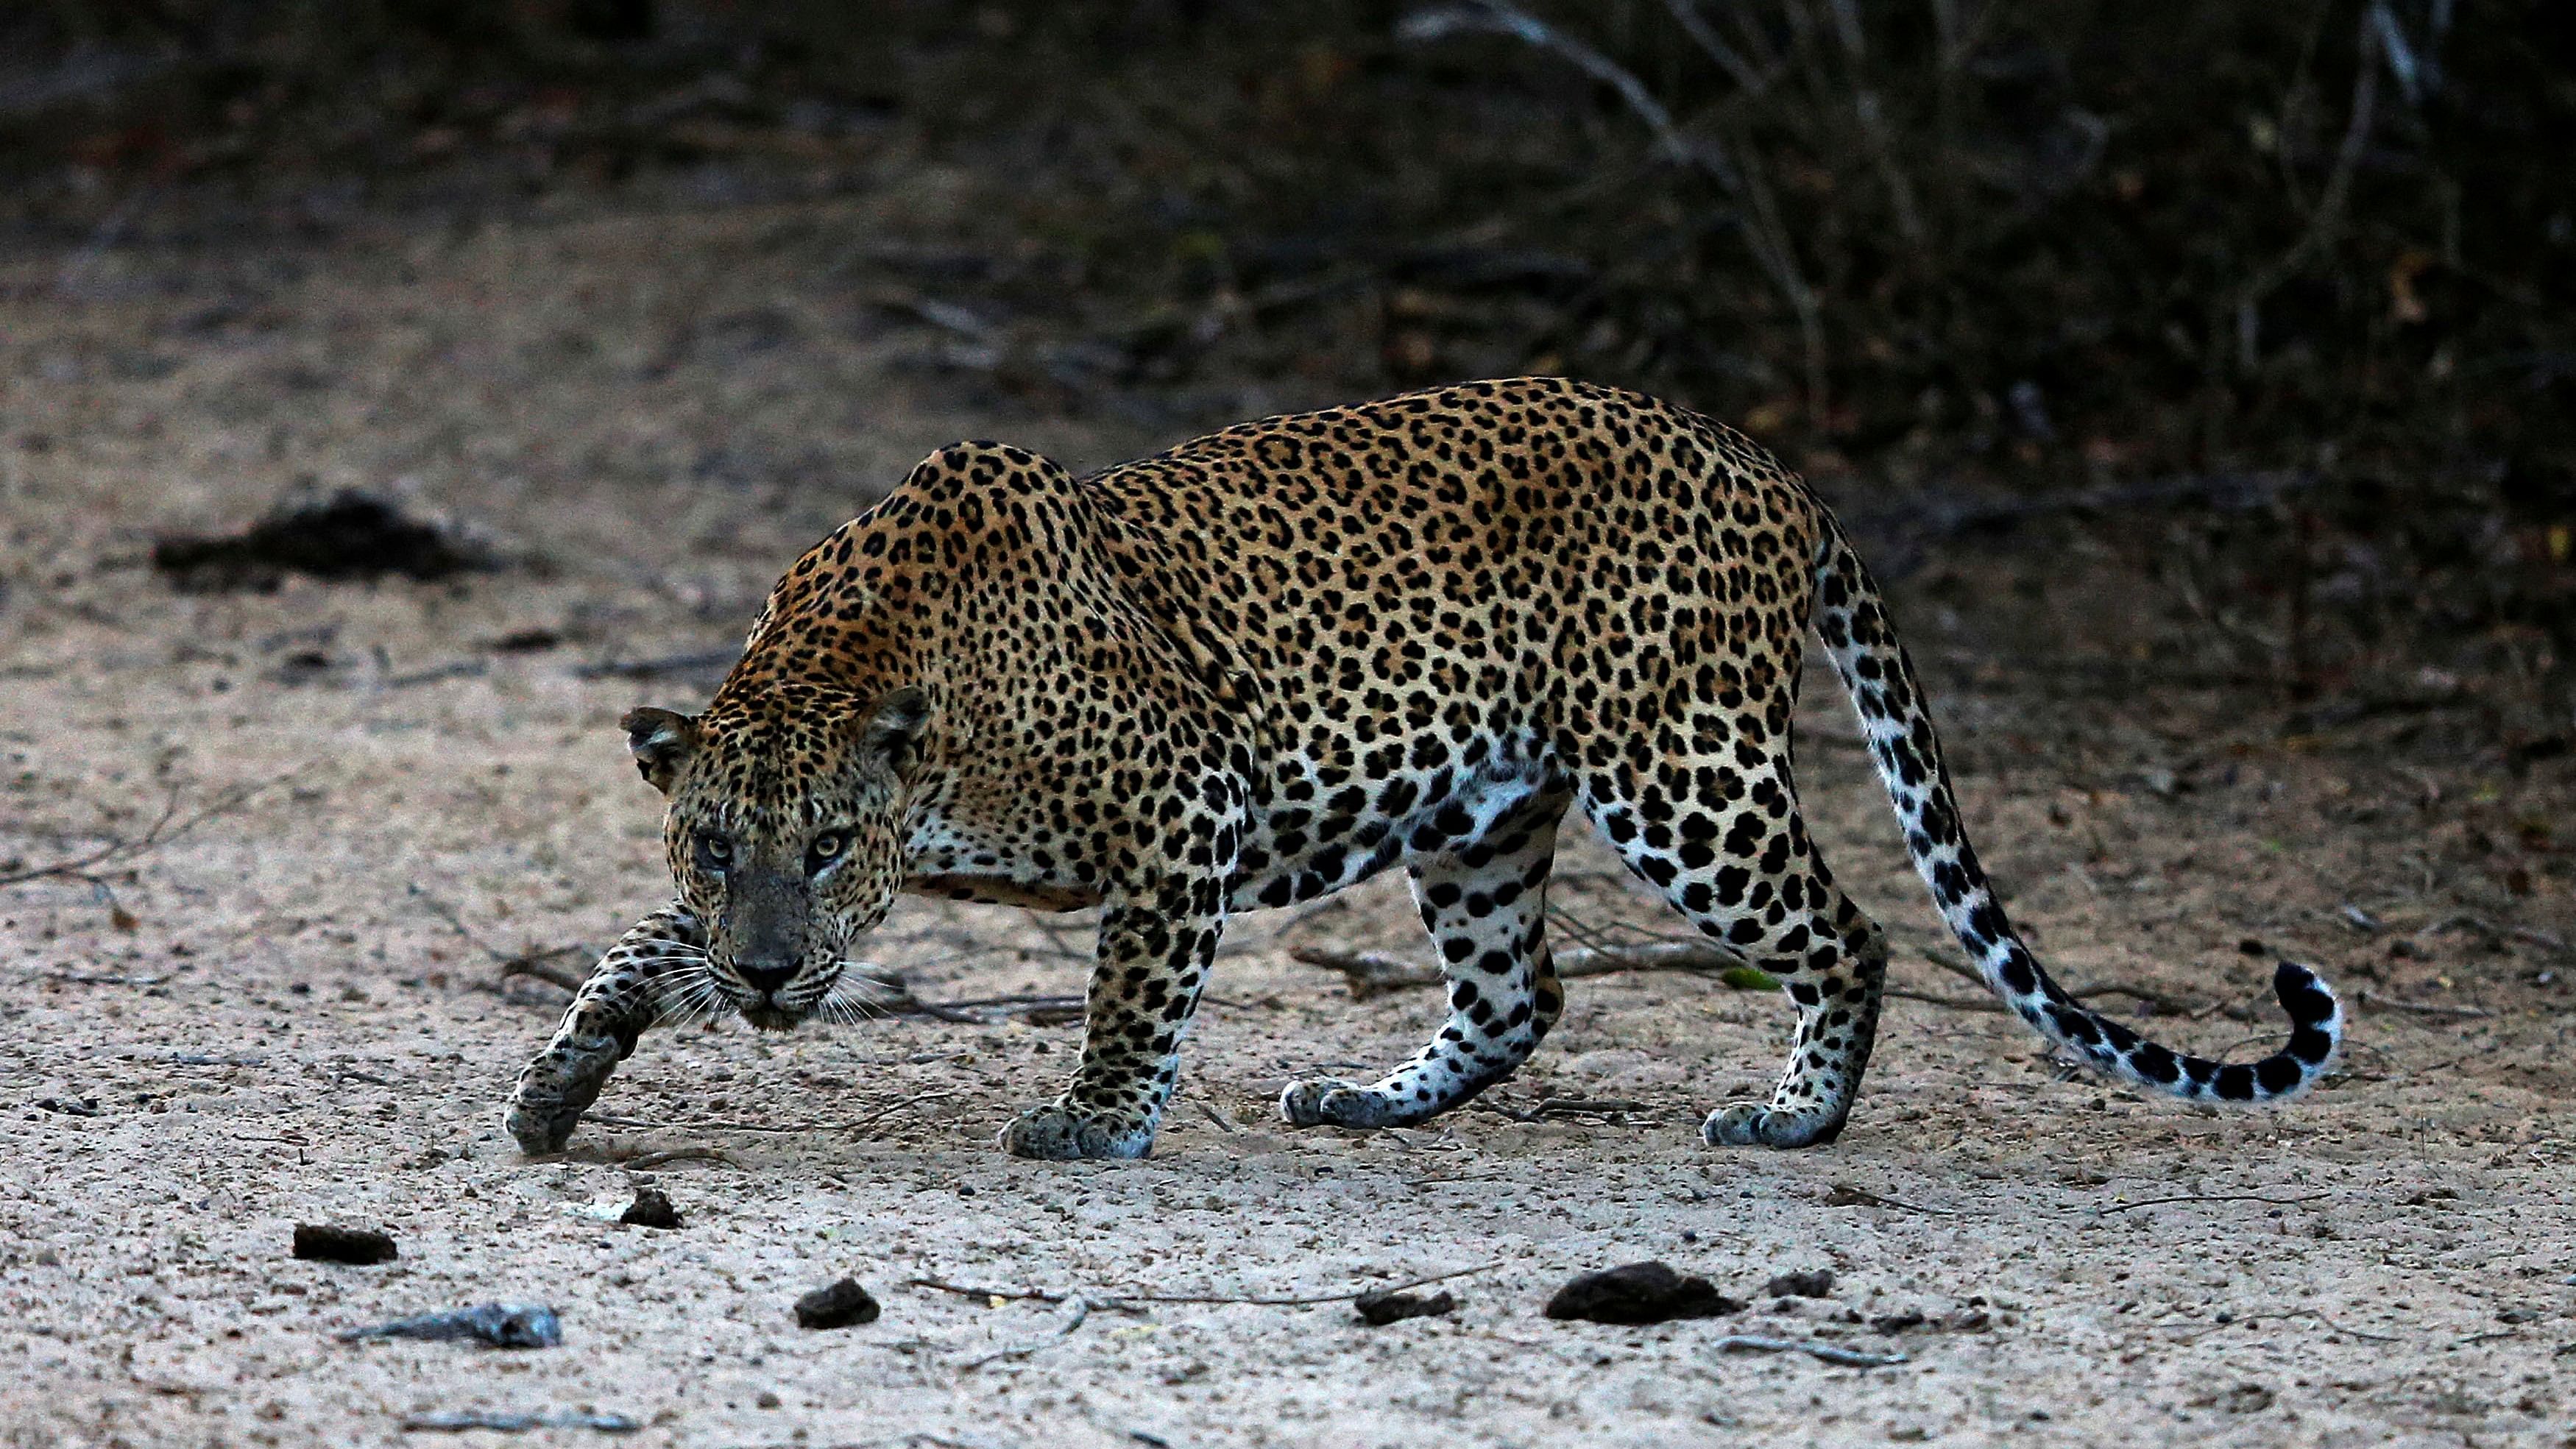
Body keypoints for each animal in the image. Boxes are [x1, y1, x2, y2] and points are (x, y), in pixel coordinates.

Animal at [497, 378, 2339, 1168]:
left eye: (827, 843)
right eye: (718, 845)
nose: (769, 971)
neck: (894, 682)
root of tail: (1764, 462)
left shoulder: (1182, 816)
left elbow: (1129, 994)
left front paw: (1094, 1122)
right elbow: (637, 952)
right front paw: (567, 1072)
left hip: (1684, 769)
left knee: (1851, 934)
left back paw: (1797, 1115)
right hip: (1480, 813)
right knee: (1521, 991)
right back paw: (1373, 1097)